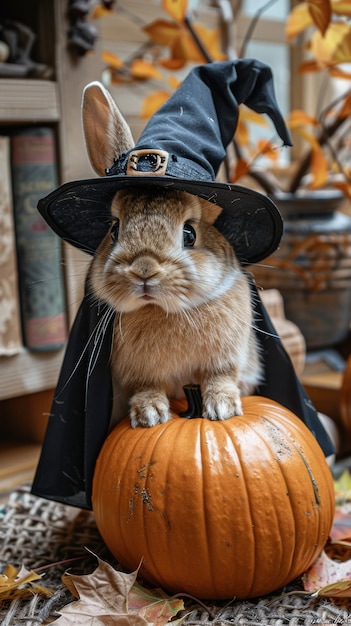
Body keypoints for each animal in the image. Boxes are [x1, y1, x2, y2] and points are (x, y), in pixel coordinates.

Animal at [84, 80, 262, 426]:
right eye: (114, 230)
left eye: (189, 233)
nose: (143, 270)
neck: (162, 309)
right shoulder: (137, 374)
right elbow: (146, 387)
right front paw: (149, 416)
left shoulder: (225, 359)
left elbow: (220, 377)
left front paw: (223, 409)